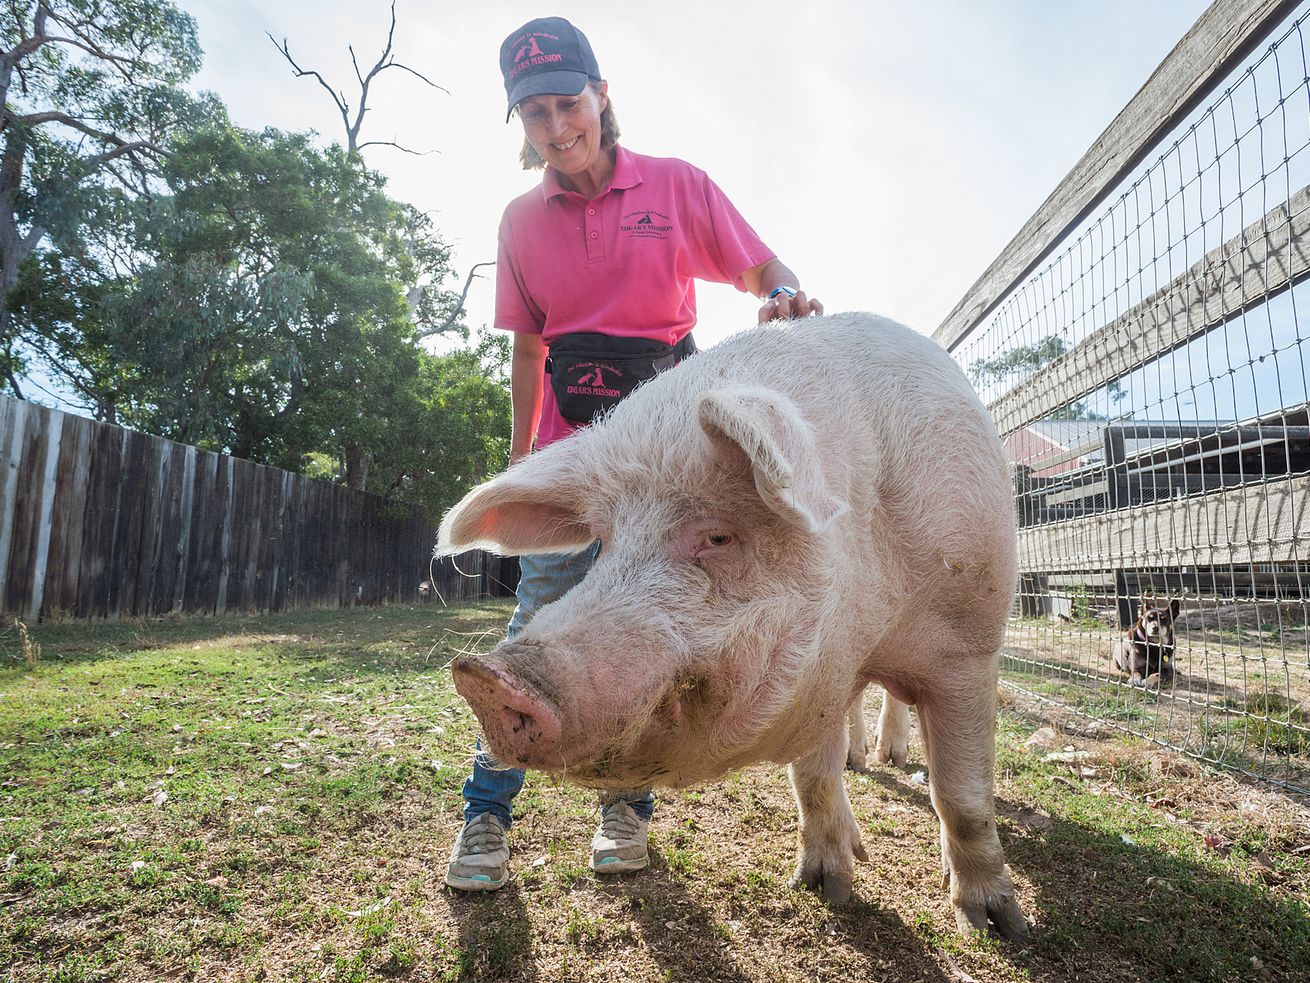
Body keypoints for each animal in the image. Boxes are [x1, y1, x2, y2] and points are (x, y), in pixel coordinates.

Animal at [442, 313, 1032, 938]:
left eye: (719, 536)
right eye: (604, 542)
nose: (484, 677)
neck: (870, 613)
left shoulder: (969, 646)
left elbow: (963, 794)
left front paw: (995, 924)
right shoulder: (819, 673)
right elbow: (814, 779)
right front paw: (823, 888)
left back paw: (890, 760)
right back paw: (858, 779)